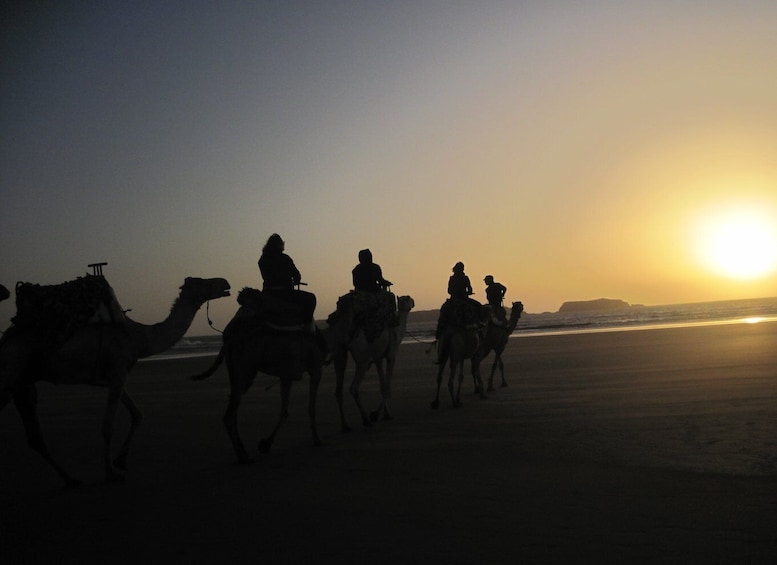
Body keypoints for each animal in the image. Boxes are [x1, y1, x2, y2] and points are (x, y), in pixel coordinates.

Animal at [0, 276, 230, 484]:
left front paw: (121, 461)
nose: (225, 283)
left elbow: (137, 414)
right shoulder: (118, 373)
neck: (139, 337)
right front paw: (111, 473)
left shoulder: (113, 378)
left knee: (35, 437)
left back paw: (70, 479)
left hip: (24, 382)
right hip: (12, 372)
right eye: (203, 282)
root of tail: (6, 338)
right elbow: (108, 426)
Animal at [189, 290, 326, 462]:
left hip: (235, 371)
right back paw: (243, 456)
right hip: (245, 370)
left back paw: (242, 452)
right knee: (229, 414)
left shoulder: (286, 376)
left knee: (233, 408)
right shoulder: (315, 369)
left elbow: (284, 411)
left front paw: (265, 444)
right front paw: (317, 439)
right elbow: (311, 408)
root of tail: (229, 336)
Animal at [326, 294, 416, 430]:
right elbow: (388, 387)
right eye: (408, 298)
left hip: (339, 351)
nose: (412, 301)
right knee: (353, 388)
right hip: (362, 358)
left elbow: (382, 386)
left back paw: (345, 425)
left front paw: (386, 414)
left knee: (338, 390)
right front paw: (375, 414)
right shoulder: (391, 355)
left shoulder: (378, 358)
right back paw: (366, 420)